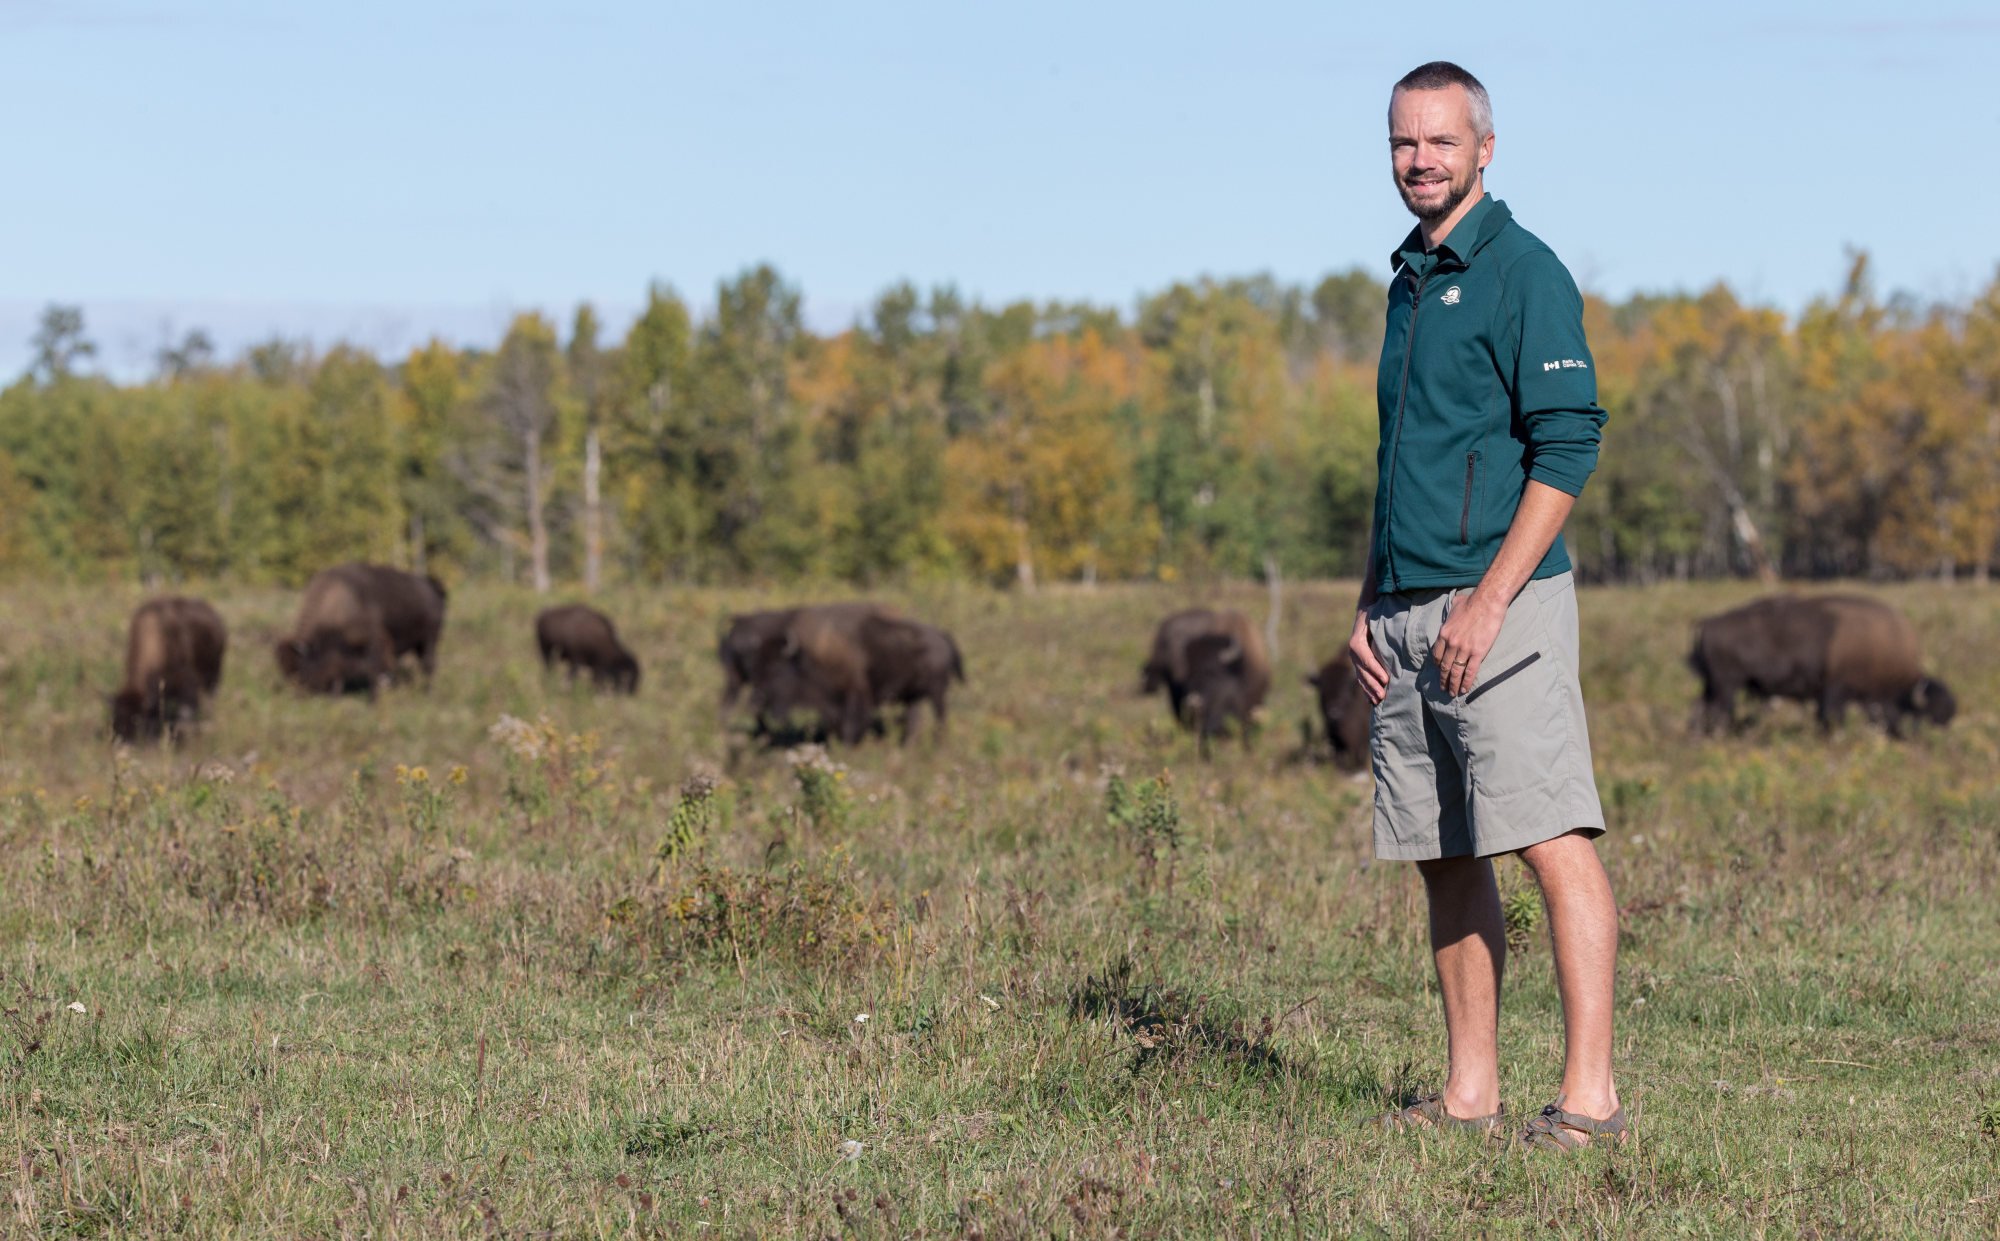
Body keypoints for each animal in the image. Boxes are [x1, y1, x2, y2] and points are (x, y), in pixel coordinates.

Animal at [274, 564, 442, 696]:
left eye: (299, 666)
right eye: (284, 670)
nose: (298, 693)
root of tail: (430, 587)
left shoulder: (373, 644)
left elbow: (373, 670)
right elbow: (339, 672)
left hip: (430, 640)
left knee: (428, 665)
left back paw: (428, 693)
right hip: (419, 644)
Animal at [1688, 592, 1952, 736]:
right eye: (1924, 717)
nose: (1919, 742)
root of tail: (1708, 622)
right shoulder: (1836, 691)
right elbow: (1832, 719)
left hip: (1712, 685)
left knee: (1701, 709)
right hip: (1727, 685)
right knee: (1720, 712)